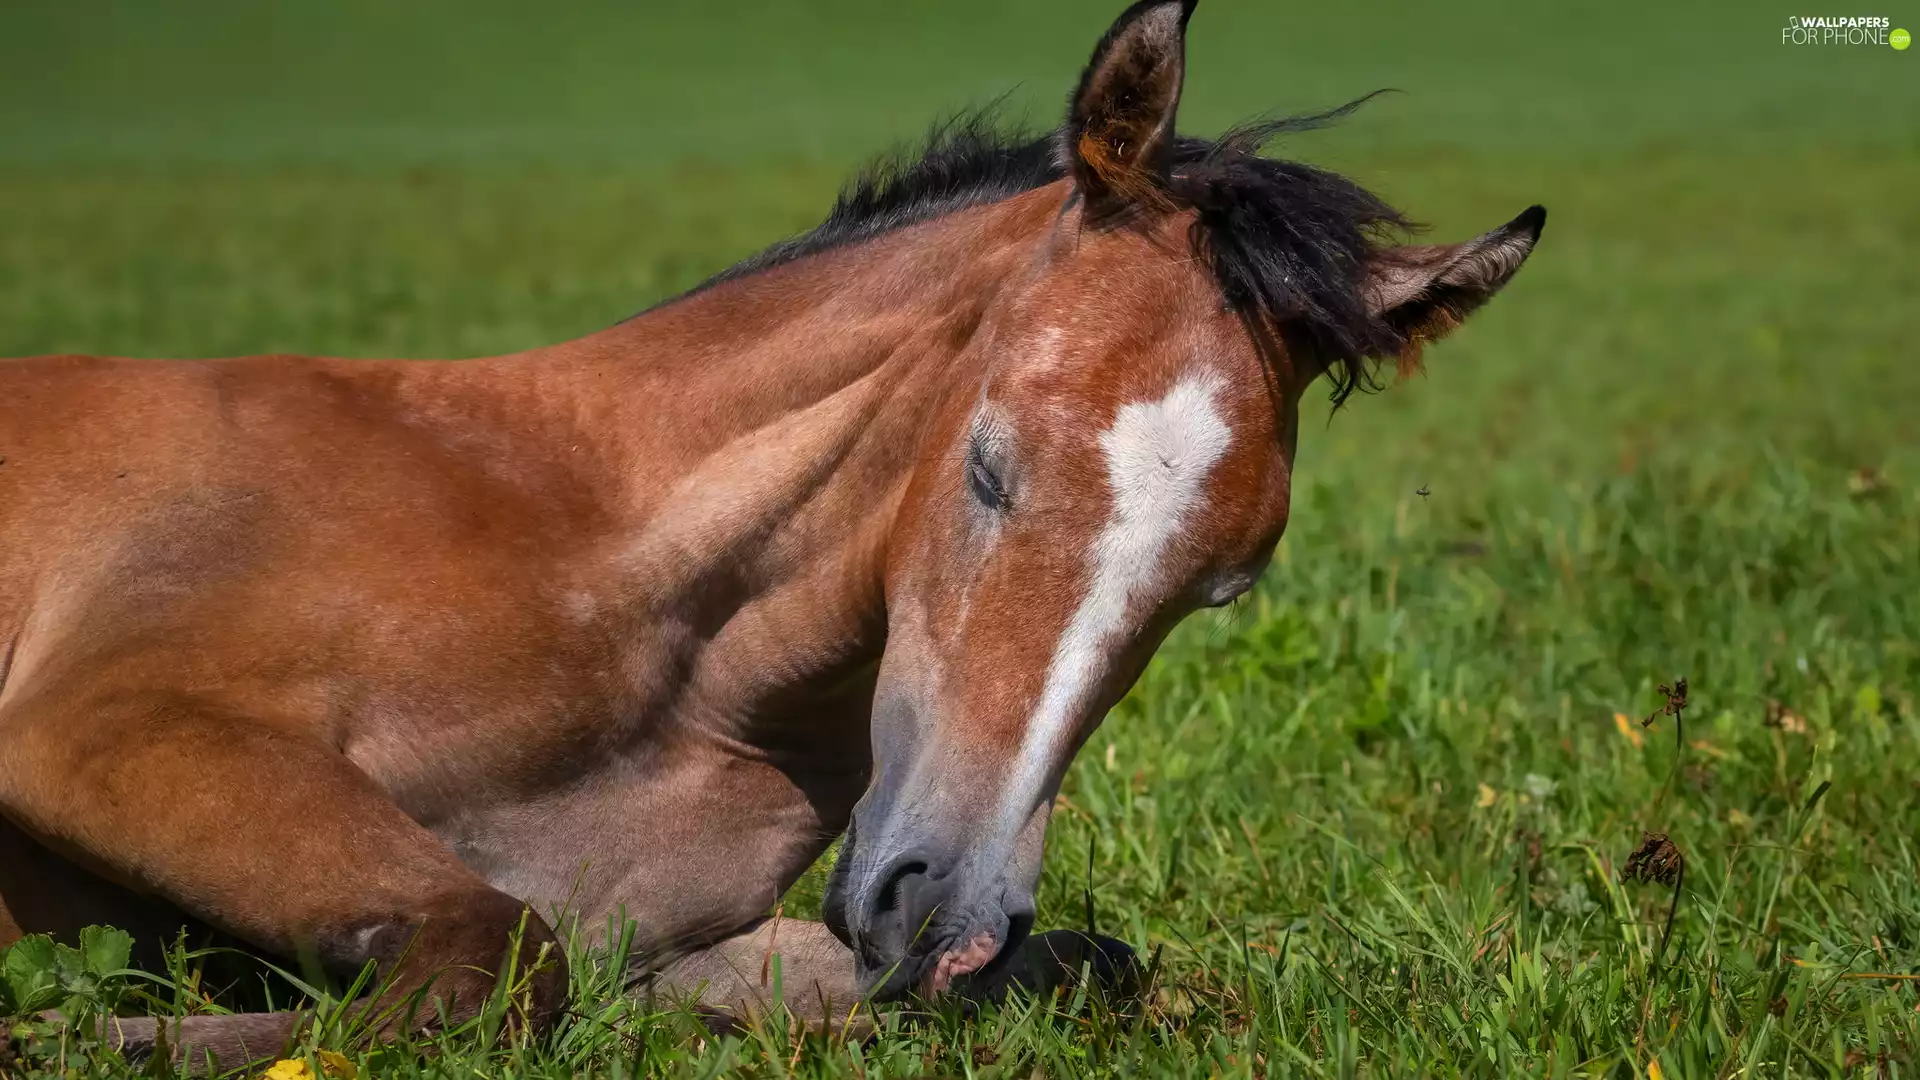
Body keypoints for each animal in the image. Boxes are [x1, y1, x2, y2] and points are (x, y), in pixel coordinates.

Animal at [0, 0, 1543, 1068]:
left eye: (1217, 585)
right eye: (989, 468)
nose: (943, 914)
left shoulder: (679, 935)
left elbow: (1092, 970)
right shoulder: (115, 725)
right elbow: (491, 956)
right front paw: (89, 1032)